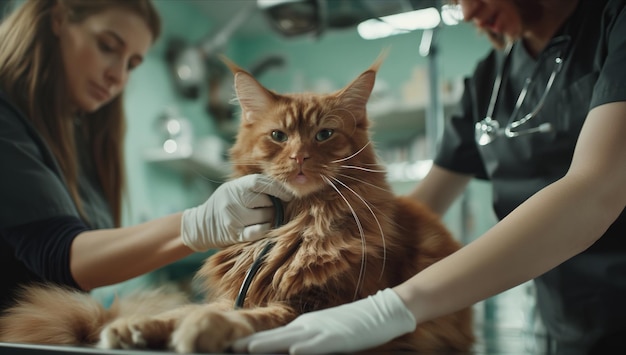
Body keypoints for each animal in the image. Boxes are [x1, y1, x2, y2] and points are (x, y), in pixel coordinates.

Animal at [0, 55, 470, 354]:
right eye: (279, 136)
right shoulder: (240, 289)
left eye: (323, 135)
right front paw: (140, 327)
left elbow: (250, 317)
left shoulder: (323, 303)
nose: (299, 158)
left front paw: (204, 330)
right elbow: (185, 309)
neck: (298, 224)